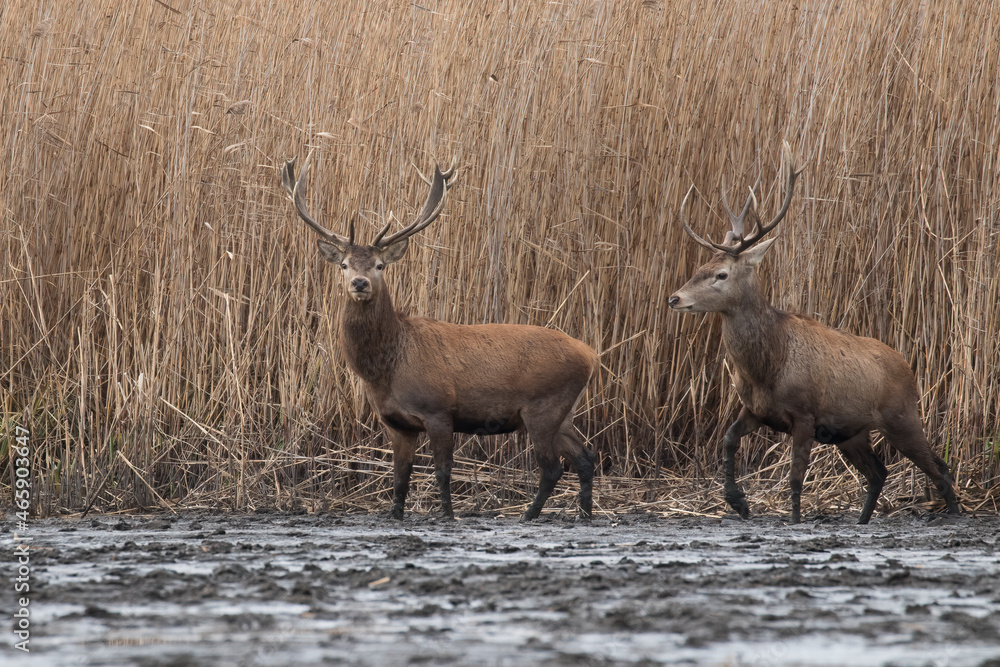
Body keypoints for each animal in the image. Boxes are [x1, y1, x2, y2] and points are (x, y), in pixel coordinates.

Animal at [280, 156, 599, 521]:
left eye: (379, 265)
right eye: (344, 264)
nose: (360, 283)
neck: (388, 368)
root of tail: (591, 355)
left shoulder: (439, 409)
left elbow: (442, 470)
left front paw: (447, 513)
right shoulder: (395, 423)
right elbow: (400, 475)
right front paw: (395, 514)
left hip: (543, 406)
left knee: (553, 466)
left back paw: (529, 514)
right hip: (564, 411)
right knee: (586, 458)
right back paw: (584, 514)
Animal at [668, 144, 961, 524]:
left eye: (721, 274)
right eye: (700, 267)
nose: (675, 298)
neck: (767, 367)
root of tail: (908, 366)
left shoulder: (805, 413)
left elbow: (795, 475)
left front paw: (793, 519)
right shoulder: (756, 409)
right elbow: (729, 440)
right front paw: (738, 502)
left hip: (903, 417)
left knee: (938, 467)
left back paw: (954, 512)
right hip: (851, 432)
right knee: (880, 472)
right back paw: (863, 520)